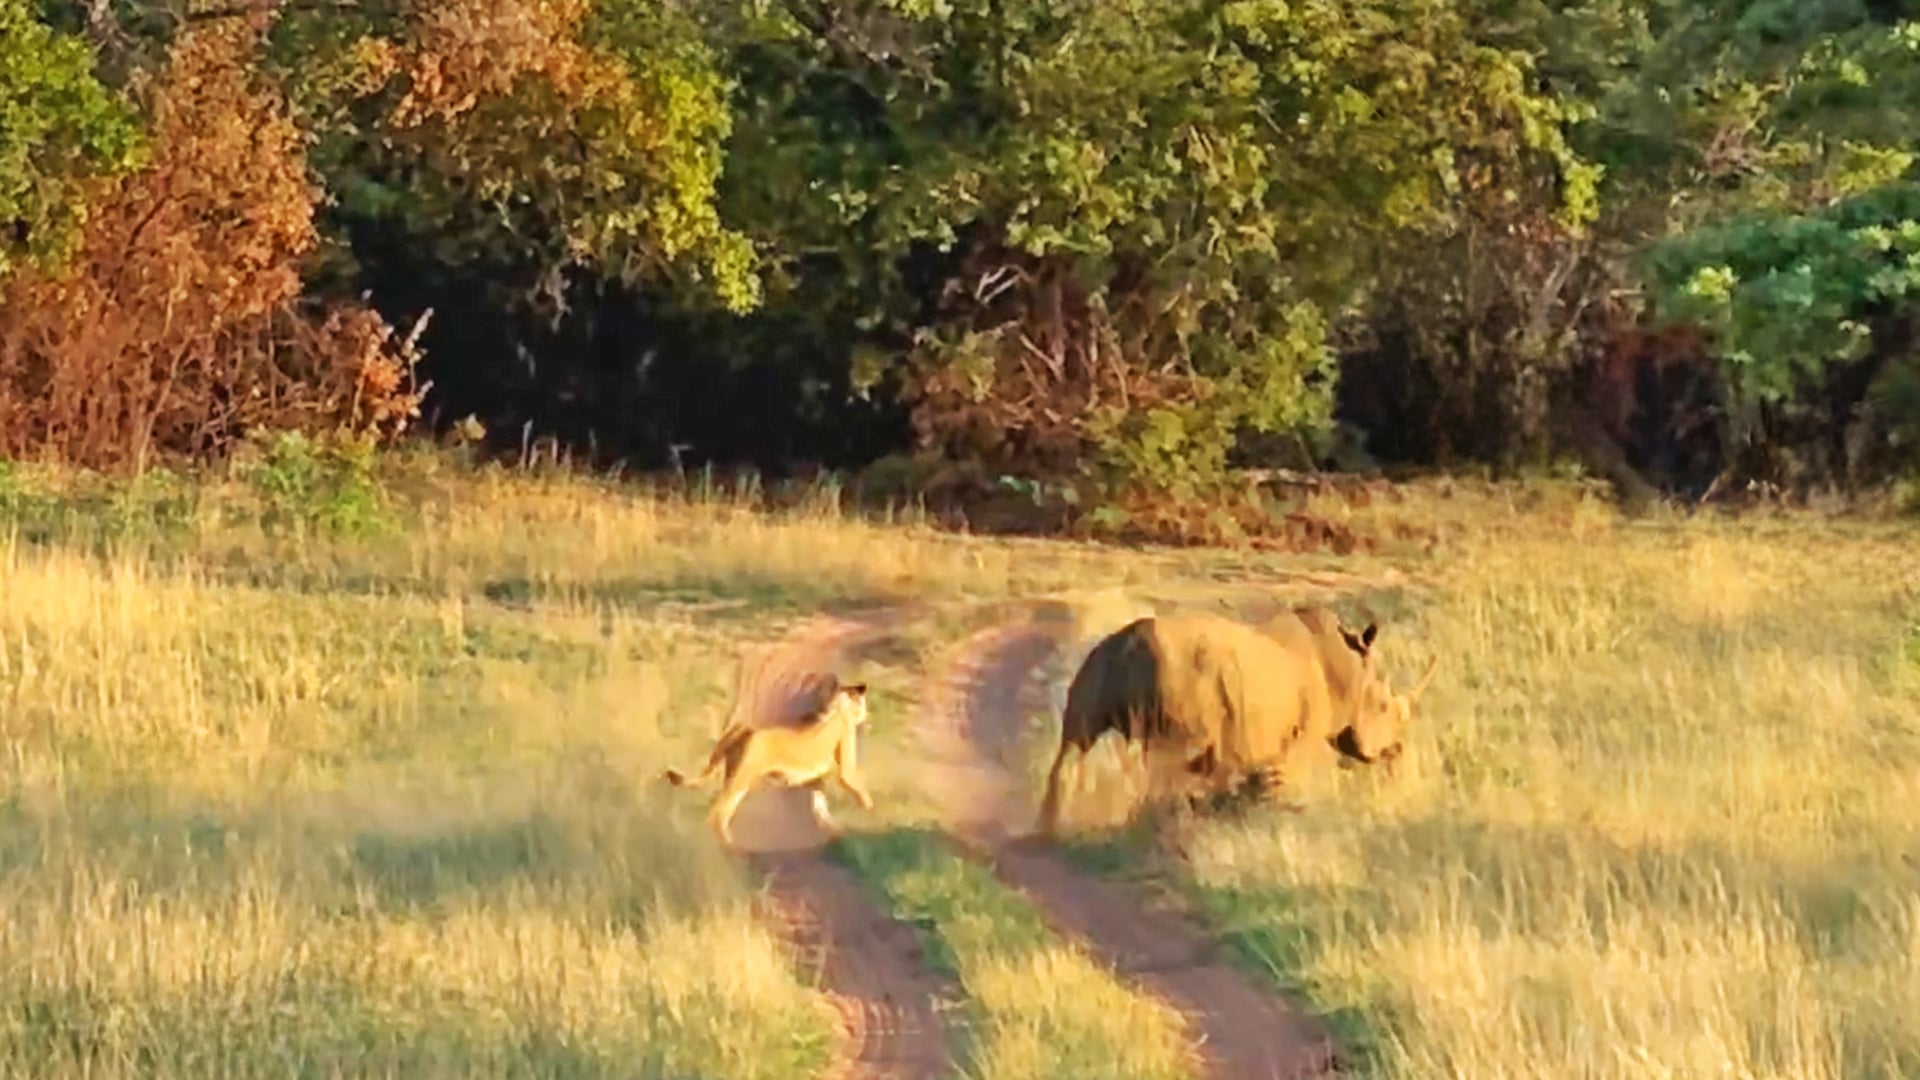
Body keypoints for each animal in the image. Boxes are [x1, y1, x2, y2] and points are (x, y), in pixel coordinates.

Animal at [662, 674, 875, 848]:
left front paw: (835, 830)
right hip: (741, 779)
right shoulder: (845, 768)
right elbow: (859, 792)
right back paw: (733, 851)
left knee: (720, 813)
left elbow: (820, 807)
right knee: (717, 815)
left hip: (739, 779)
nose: (866, 716)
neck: (838, 708)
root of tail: (743, 729)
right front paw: (869, 815)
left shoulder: (813, 779)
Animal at [1032, 606, 1437, 837]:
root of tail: (1129, 645)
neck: (1351, 668)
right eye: (1384, 707)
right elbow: (1287, 782)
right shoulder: (1304, 739)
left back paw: (1047, 835)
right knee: (1167, 763)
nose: (1395, 751)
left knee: (1076, 740)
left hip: (1099, 659)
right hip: (1178, 678)